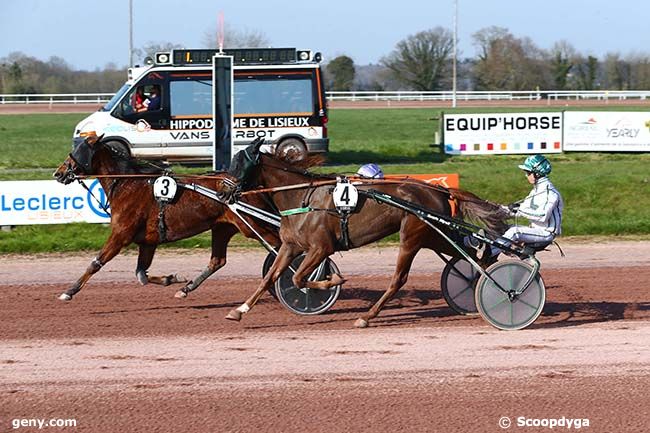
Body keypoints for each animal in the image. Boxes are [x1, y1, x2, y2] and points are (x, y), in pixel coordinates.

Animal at [225, 140, 508, 326]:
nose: (225, 191)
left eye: (239, 163)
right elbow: (270, 278)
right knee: (468, 253)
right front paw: (238, 310)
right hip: (433, 235)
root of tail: (439, 190)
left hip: (412, 237)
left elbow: (298, 279)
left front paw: (332, 282)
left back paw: (367, 316)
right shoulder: (290, 246)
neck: (302, 196)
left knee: (399, 278)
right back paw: (480, 277)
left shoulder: (321, 247)